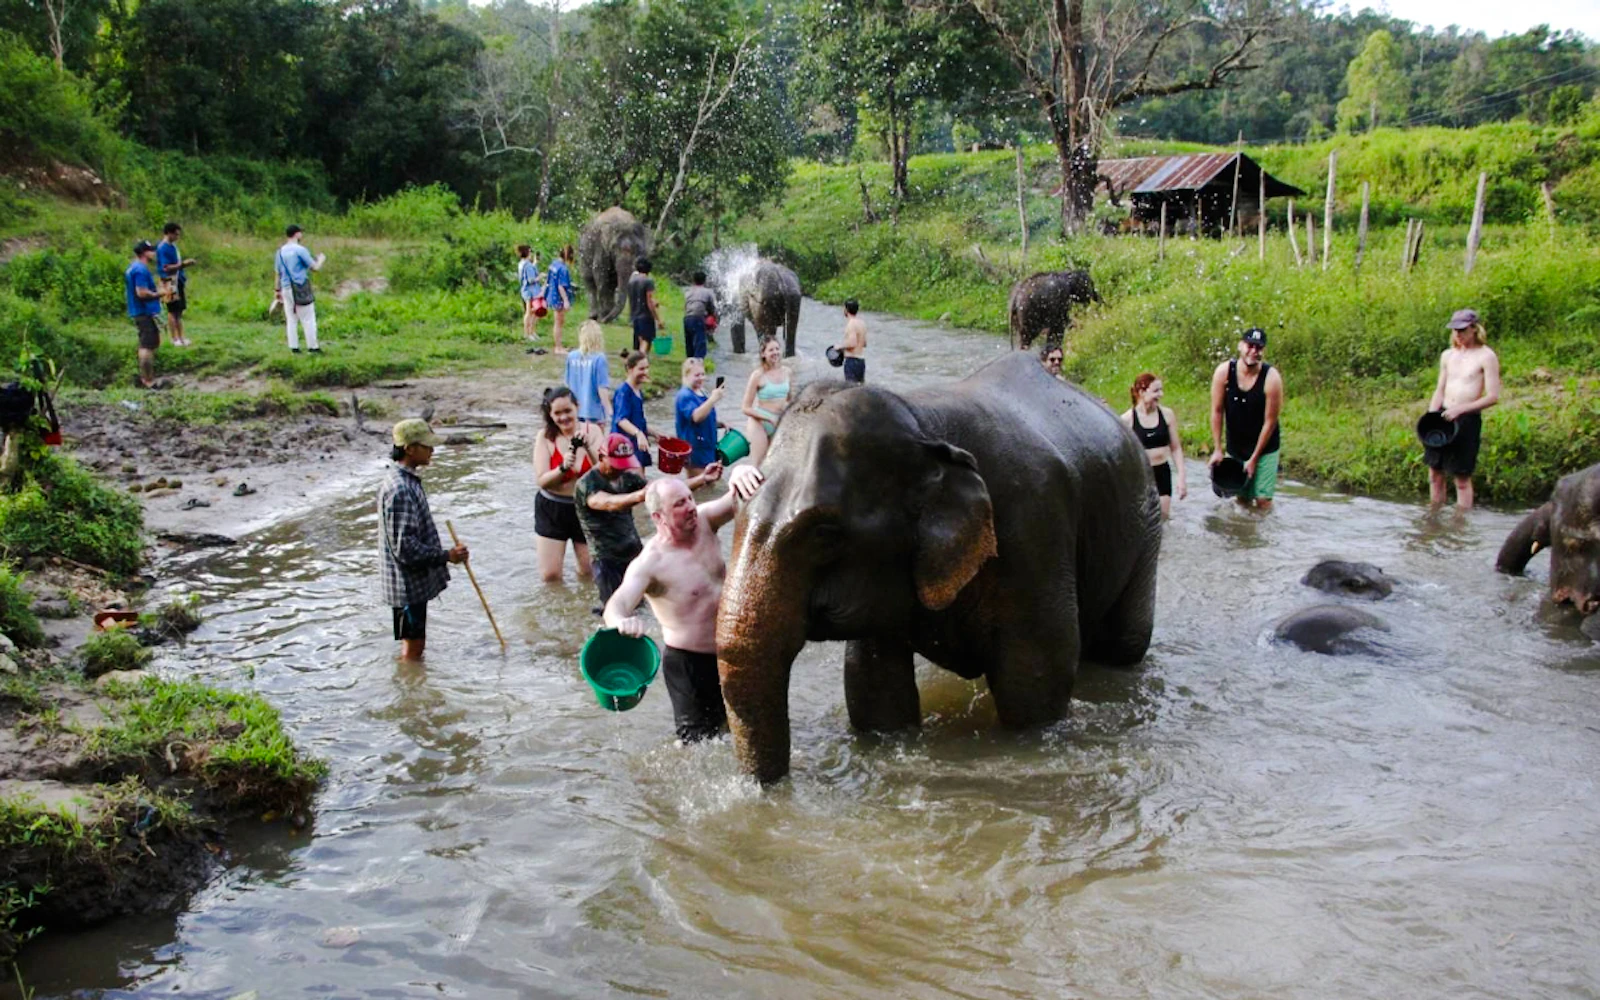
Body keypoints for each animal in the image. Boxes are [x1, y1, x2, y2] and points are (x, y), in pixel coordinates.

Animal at [715, 351, 1163, 784]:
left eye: (824, 533)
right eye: (738, 504)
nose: (768, 791)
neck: (924, 426)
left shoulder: (1036, 529)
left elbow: (1034, 682)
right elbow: (874, 688)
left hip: (1147, 521)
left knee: (1123, 644)